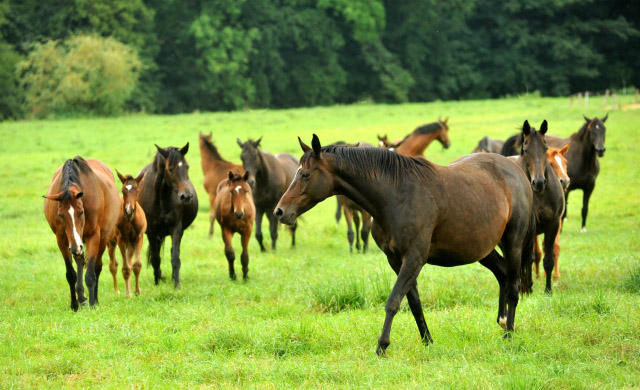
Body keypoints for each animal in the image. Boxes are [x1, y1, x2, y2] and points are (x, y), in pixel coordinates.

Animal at [45, 155, 121, 310]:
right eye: (60, 215)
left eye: (81, 212)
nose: (75, 247)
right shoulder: (62, 239)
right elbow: (71, 274)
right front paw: (74, 305)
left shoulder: (93, 236)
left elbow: (91, 274)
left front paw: (93, 304)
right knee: (80, 262)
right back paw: (81, 297)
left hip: (101, 239)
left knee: (97, 267)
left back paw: (94, 299)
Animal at [139, 143, 199, 286]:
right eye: (170, 169)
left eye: (187, 166)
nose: (186, 196)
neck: (161, 198)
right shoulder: (151, 232)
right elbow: (155, 259)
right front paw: (157, 283)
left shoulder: (176, 229)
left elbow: (175, 258)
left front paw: (176, 284)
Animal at [276, 136, 536, 354]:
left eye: (305, 174)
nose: (280, 212)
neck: (396, 195)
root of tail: (517, 170)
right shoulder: (396, 260)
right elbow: (413, 302)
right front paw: (427, 340)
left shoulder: (414, 258)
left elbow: (393, 301)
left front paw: (382, 346)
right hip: (482, 248)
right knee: (502, 274)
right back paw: (503, 321)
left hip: (512, 242)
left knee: (514, 285)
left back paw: (509, 334)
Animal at [508, 120, 564, 294]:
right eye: (526, 150)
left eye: (545, 148)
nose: (538, 182)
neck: (540, 195)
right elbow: (530, 257)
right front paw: (530, 288)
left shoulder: (553, 225)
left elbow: (548, 259)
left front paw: (548, 290)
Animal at [532, 143, 572, 280]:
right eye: (550, 163)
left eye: (565, 162)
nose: (565, 181)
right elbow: (536, 251)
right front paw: (539, 276)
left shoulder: (556, 221)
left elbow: (554, 247)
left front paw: (555, 276)